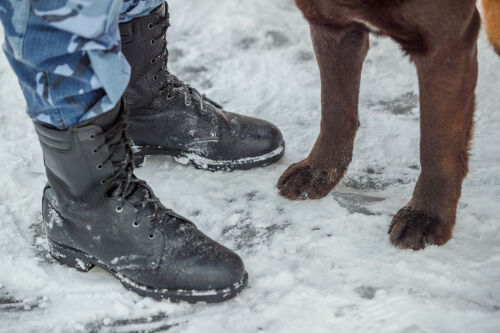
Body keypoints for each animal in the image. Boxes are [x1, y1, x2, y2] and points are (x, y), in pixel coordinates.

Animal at [278, 0, 496, 249]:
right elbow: (334, 109)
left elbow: (437, 144)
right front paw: (318, 170)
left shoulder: (445, 44)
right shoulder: (332, 24)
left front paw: (425, 216)